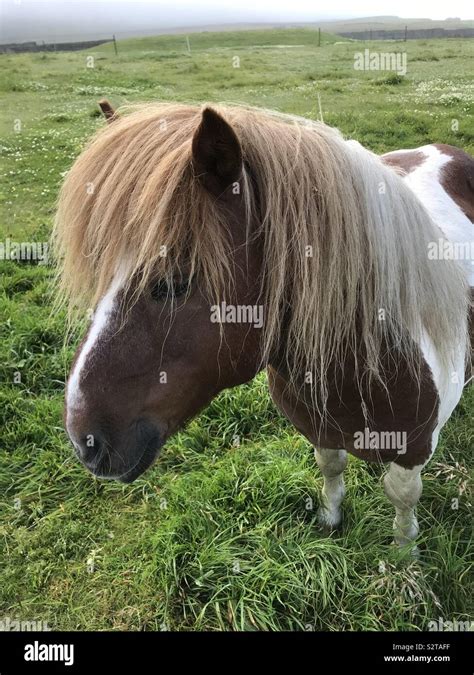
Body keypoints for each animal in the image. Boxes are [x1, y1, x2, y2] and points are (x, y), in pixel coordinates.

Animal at [53, 104, 472, 548]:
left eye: (174, 283)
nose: (83, 441)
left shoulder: (413, 450)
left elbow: (402, 495)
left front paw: (404, 549)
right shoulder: (320, 430)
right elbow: (331, 466)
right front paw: (330, 517)